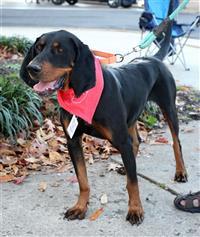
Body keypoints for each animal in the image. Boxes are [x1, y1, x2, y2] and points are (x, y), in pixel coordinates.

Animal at [19, 12, 188, 226]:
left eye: (59, 50)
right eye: (39, 48)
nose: (32, 68)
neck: (81, 93)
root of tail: (152, 58)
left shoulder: (120, 139)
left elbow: (133, 183)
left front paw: (135, 209)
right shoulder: (73, 141)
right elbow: (83, 181)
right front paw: (80, 207)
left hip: (169, 108)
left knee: (176, 143)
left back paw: (180, 172)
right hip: (131, 116)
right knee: (136, 141)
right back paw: (127, 166)